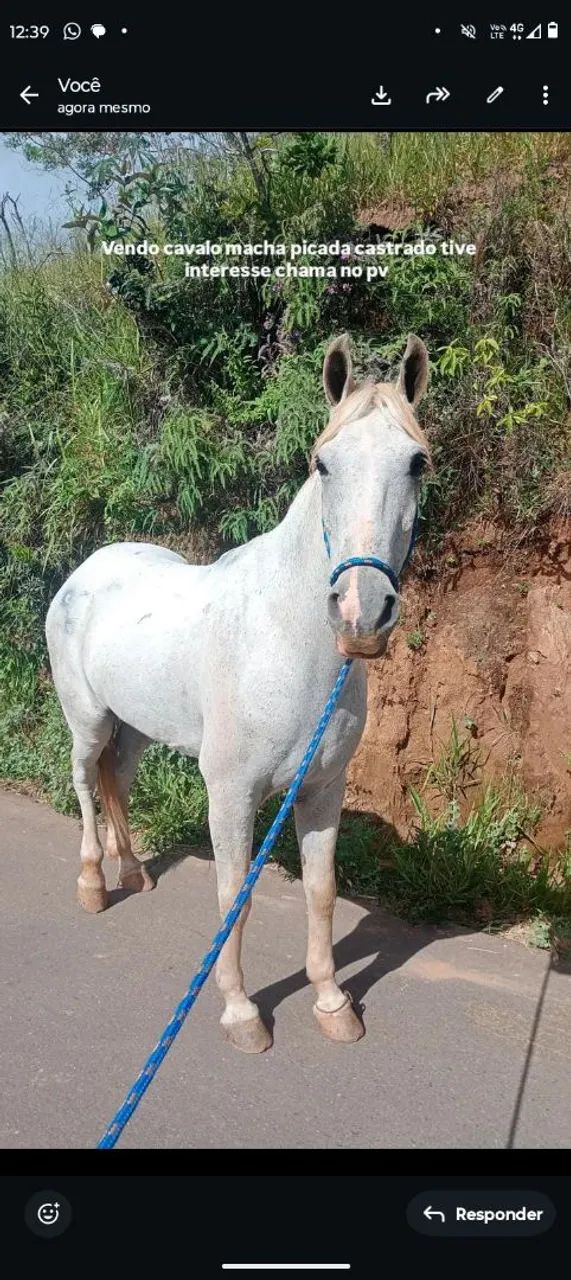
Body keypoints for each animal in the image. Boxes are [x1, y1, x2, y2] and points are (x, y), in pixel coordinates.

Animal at [46, 332, 431, 1053]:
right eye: (322, 463)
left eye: (417, 462)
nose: (361, 614)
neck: (284, 641)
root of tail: (86, 570)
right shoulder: (229, 792)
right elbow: (234, 897)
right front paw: (240, 1013)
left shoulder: (320, 789)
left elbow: (320, 893)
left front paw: (333, 1004)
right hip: (87, 722)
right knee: (85, 783)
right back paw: (91, 885)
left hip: (134, 731)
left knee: (117, 782)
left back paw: (133, 872)